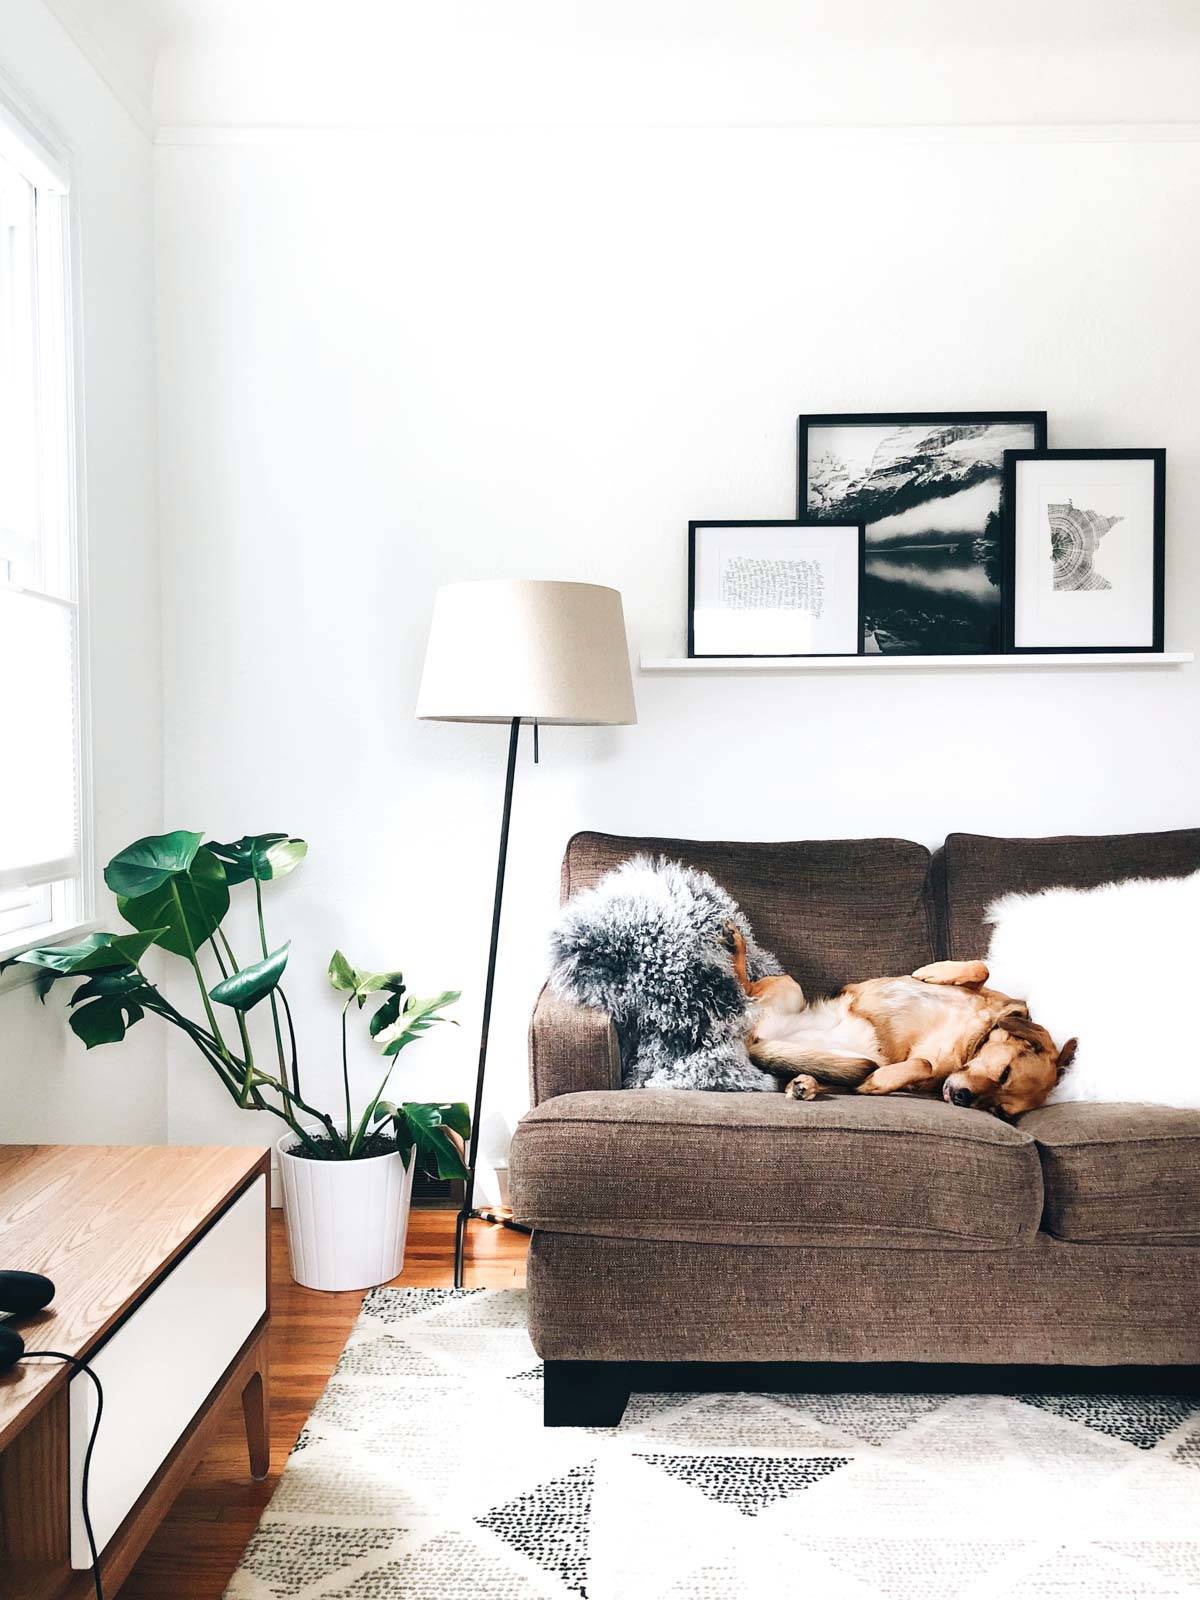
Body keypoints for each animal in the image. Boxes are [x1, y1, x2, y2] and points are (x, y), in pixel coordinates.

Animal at [732, 934, 1081, 1120]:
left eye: (999, 1111)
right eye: (1005, 1072)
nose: (962, 1099)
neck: (972, 1042)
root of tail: (754, 1039)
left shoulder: (924, 1073)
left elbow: (922, 1063)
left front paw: (879, 1082)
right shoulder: (994, 996)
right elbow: (980, 968)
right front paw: (933, 971)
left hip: (836, 1059)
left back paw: (805, 1084)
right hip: (789, 986)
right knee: (743, 982)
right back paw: (735, 944)